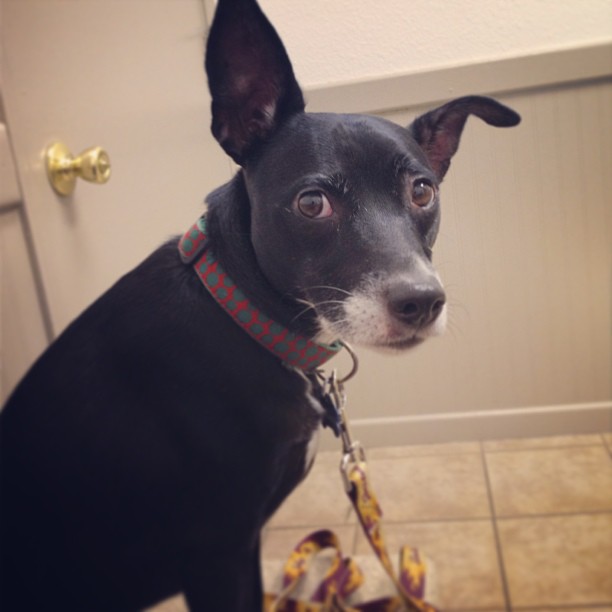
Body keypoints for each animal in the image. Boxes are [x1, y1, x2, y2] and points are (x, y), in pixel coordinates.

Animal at [0, 2, 520, 608]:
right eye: (312, 203)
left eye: (422, 191)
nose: (421, 302)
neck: (243, 317)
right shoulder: (217, 554)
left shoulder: (242, 548)